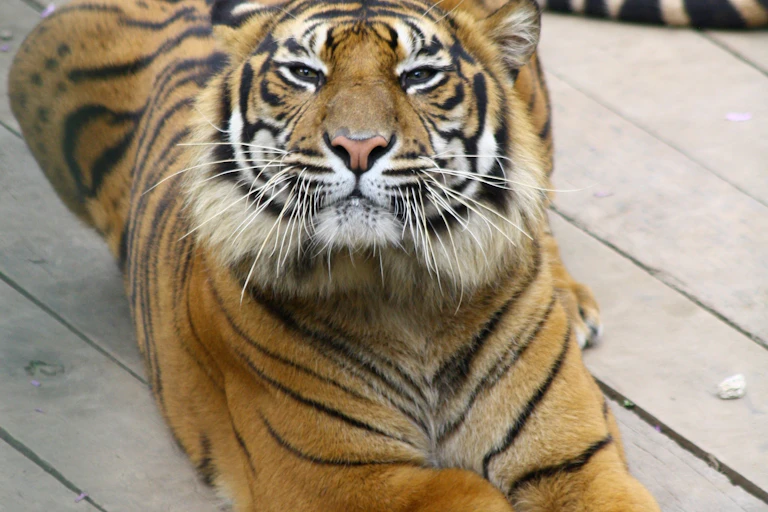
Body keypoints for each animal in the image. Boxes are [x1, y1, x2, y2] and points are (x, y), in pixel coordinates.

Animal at [6, 0, 668, 510]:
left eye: (419, 76)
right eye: (304, 73)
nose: (358, 146)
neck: (407, 291)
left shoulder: (575, 458)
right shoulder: (341, 478)